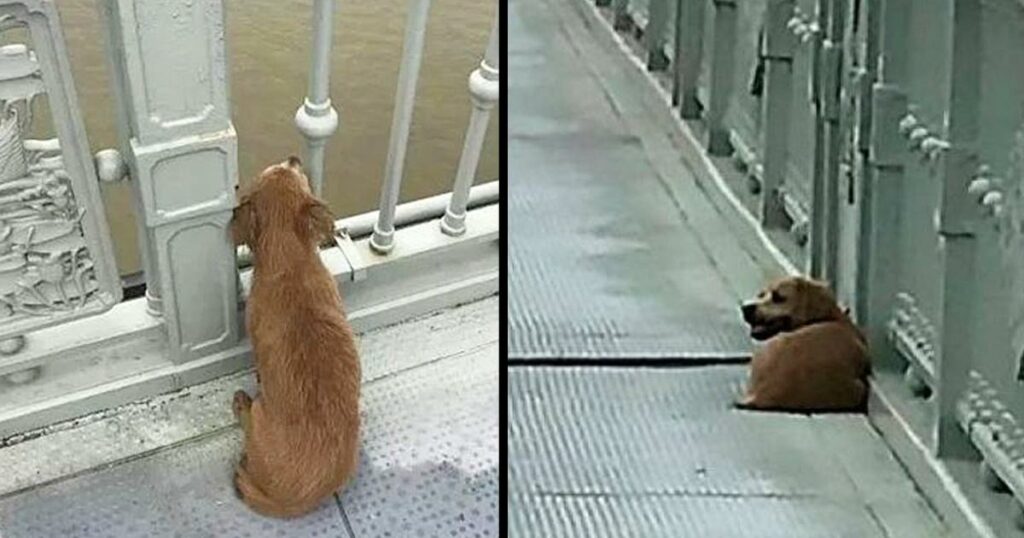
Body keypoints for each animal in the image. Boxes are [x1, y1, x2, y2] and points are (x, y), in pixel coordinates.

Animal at [230, 154, 362, 516]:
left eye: (289, 170)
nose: (294, 157)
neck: (289, 257)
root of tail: (293, 501)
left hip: (260, 418)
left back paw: (241, 403)